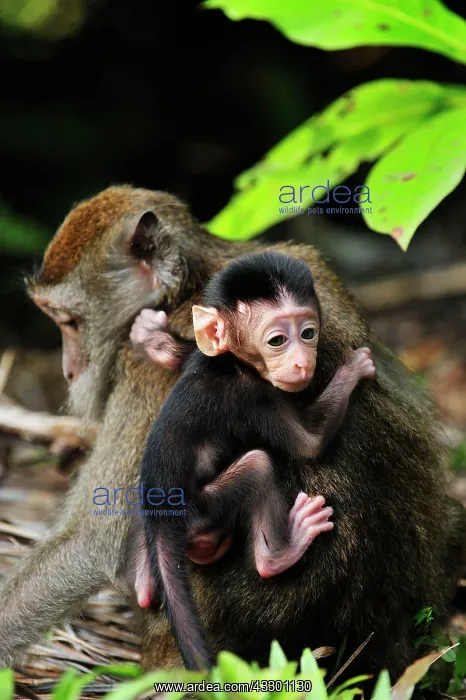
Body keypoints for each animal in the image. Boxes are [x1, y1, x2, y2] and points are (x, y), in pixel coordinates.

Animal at [133, 251, 376, 670]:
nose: (302, 363)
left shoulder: (205, 358)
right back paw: (281, 553)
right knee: (261, 466)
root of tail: (162, 518)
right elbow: (309, 443)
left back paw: (143, 582)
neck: (232, 364)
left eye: (308, 333)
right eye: (278, 340)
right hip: (203, 511)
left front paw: (150, 334)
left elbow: (183, 354)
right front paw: (354, 368)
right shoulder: (253, 396)